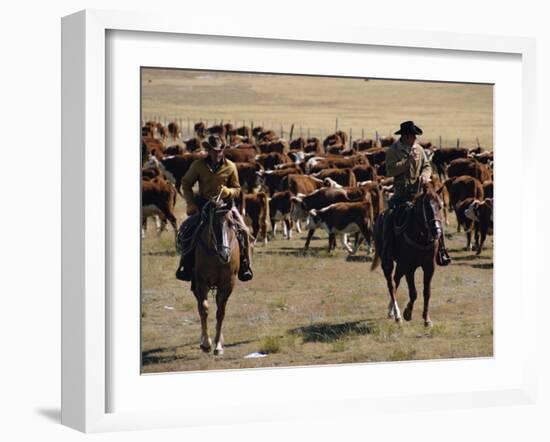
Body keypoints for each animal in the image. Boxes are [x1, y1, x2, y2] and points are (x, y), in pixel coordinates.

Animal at [193, 197, 240, 356]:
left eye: (231, 223)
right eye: (214, 224)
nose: (224, 255)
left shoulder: (228, 284)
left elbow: (220, 312)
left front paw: (218, 344)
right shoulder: (201, 283)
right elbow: (204, 309)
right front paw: (206, 343)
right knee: (200, 307)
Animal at [374, 185, 446, 326]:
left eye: (440, 206)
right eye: (427, 207)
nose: (437, 232)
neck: (420, 237)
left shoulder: (429, 267)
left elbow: (427, 292)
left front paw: (427, 319)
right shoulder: (409, 268)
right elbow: (413, 293)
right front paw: (407, 313)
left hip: (400, 265)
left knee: (396, 280)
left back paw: (391, 311)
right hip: (389, 263)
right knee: (391, 284)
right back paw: (397, 315)